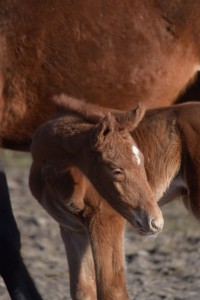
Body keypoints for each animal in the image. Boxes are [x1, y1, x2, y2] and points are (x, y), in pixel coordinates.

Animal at [1, 0, 200, 300]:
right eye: (116, 170)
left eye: (142, 164)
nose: (155, 223)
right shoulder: (72, 229)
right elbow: (83, 289)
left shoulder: (107, 221)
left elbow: (112, 289)